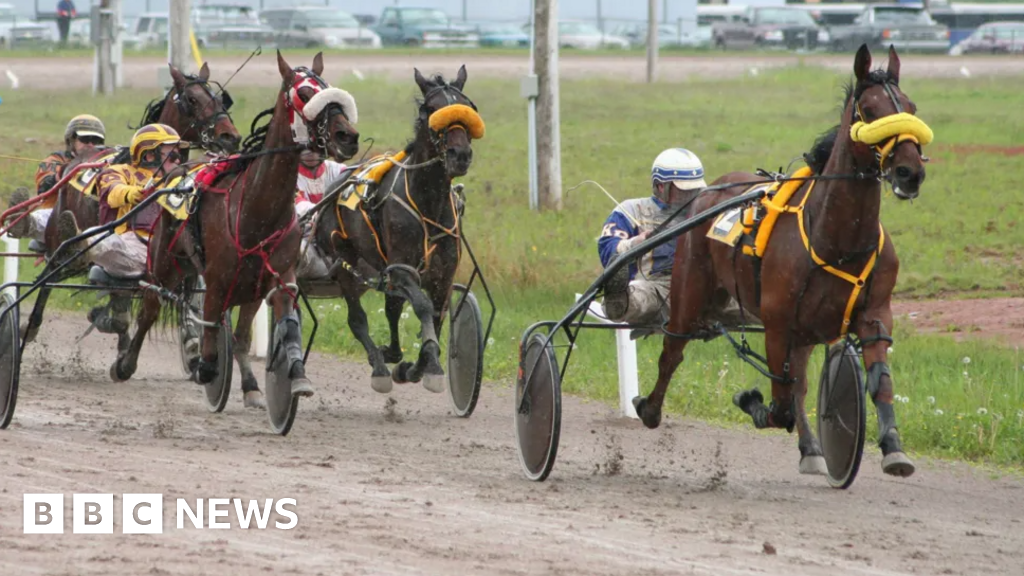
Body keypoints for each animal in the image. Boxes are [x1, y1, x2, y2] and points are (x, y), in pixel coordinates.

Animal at [111, 50, 360, 407]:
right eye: (304, 93)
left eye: (328, 88)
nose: (347, 137)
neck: (258, 209)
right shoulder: (217, 280)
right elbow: (211, 331)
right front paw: (206, 368)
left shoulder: (276, 277)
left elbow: (269, 328)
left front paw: (289, 379)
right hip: (164, 263)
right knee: (150, 308)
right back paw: (126, 363)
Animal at [311, 65, 483, 391]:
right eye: (432, 109)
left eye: (468, 108)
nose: (461, 154)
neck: (427, 202)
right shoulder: (403, 269)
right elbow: (423, 307)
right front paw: (431, 366)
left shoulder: (442, 274)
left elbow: (437, 315)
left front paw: (416, 367)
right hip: (344, 261)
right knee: (357, 319)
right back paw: (379, 367)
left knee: (391, 306)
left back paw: (391, 355)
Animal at [630, 43, 929, 475]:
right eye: (870, 110)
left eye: (910, 106)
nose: (910, 172)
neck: (836, 239)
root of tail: (710, 191)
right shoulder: (777, 321)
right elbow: (780, 403)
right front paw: (750, 401)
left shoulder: (874, 313)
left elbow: (877, 383)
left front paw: (893, 447)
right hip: (690, 290)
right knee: (673, 351)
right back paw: (648, 408)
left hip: (802, 329)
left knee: (798, 385)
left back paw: (811, 449)